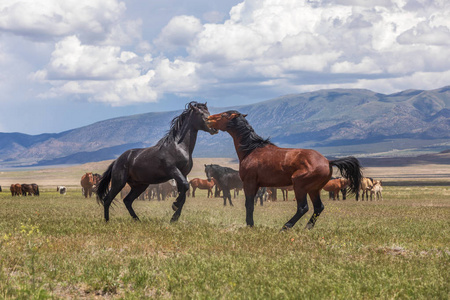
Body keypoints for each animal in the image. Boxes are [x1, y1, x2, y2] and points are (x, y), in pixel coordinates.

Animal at [207, 110, 362, 230]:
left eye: (223, 115)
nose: (208, 118)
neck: (251, 150)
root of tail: (328, 162)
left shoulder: (249, 183)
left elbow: (249, 205)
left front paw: (250, 225)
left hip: (300, 185)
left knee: (303, 207)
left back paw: (285, 227)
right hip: (314, 189)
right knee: (318, 207)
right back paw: (307, 228)